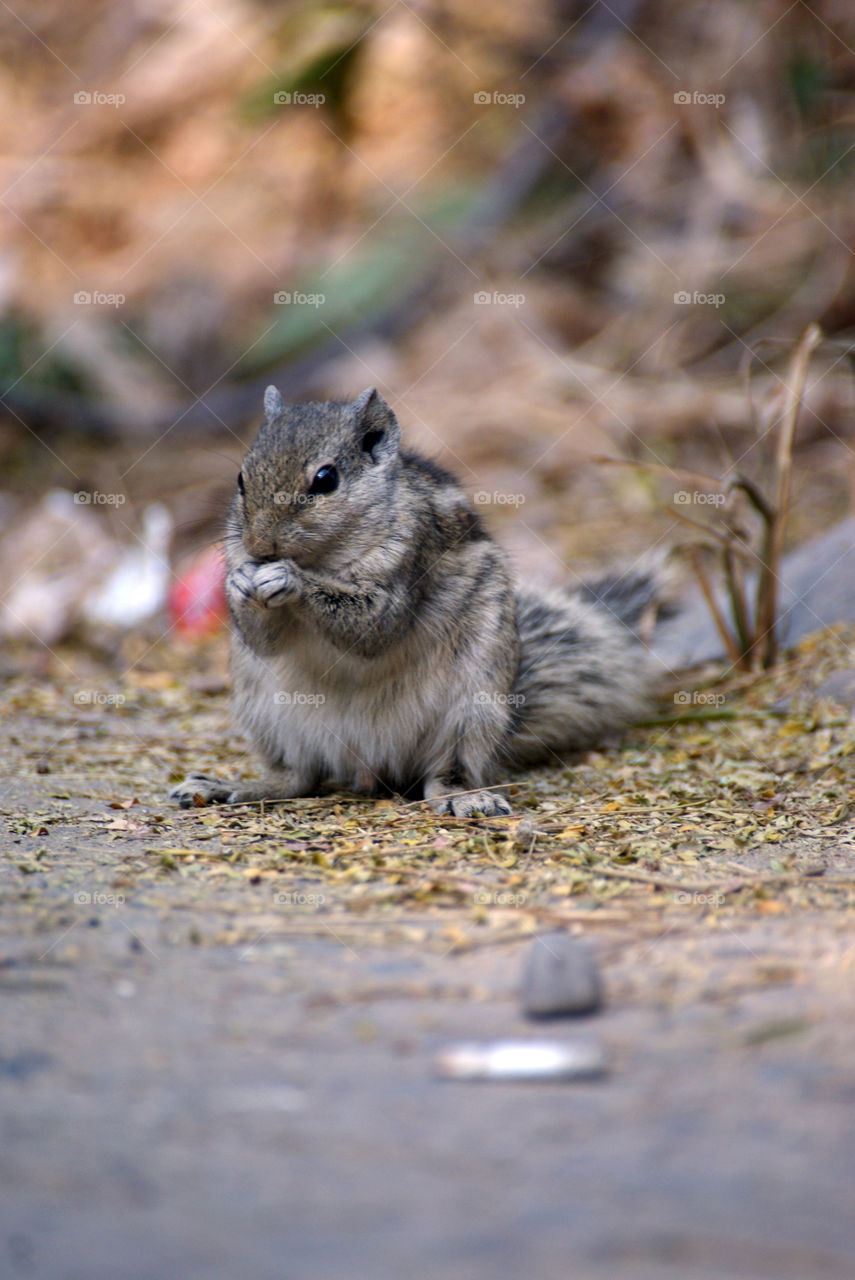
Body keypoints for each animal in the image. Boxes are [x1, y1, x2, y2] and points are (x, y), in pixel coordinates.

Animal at [170, 385, 668, 818]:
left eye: (326, 480)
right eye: (240, 478)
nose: (259, 547)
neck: (326, 555)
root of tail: (367, 759)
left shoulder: (410, 556)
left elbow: (372, 627)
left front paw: (290, 578)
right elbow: (265, 639)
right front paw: (240, 582)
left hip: (472, 708)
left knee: (445, 774)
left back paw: (467, 798)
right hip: (266, 713)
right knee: (297, 779)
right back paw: (229, 785)